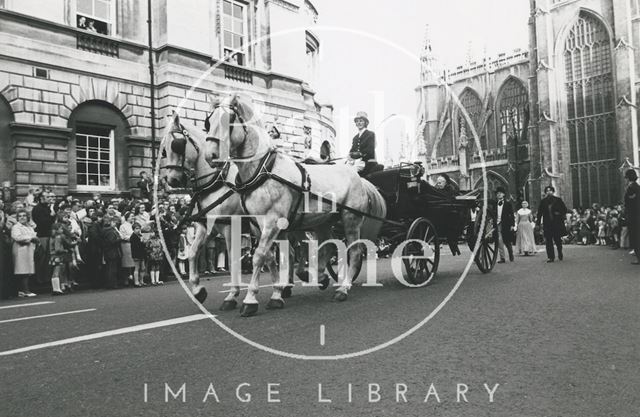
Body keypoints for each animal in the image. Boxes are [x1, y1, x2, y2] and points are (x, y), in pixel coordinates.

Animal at [202, 94, 388, 316]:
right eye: (208, 122)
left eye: (229, 120)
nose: (210, 157)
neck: (263, 169)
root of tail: (358, 177)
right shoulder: (257, 225)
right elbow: (271, 257)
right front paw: (277, 292)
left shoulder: (272, 221)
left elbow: (259, 256)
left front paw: (250, 300)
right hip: (323, 221)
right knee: (329, 246)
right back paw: (320, 277)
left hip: (350, 219)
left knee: (354, 252)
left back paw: (343, 288)